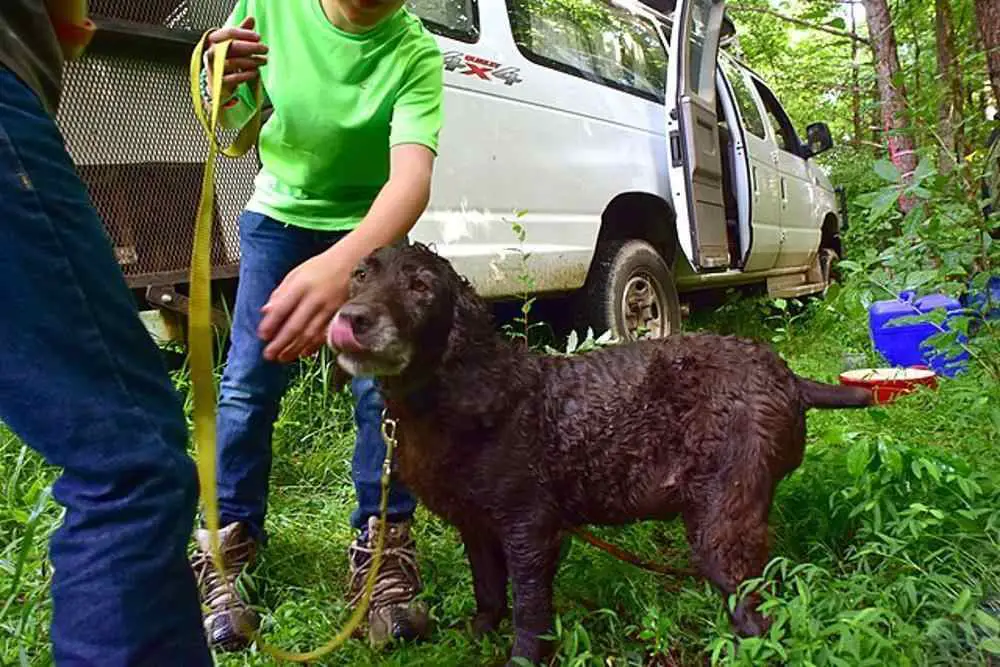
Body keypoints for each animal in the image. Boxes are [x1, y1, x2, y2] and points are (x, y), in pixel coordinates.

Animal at [326, 241, 868, 664]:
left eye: (420, 287)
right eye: (359, 275)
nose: (352, 319)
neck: (457, 394)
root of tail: (788, 378)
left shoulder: (530, 529)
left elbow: (530, 610)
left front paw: (521, 657)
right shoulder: (477, 526)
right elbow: (489, 591)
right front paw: (479, 635)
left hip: (721, 522)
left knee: (759, 619)